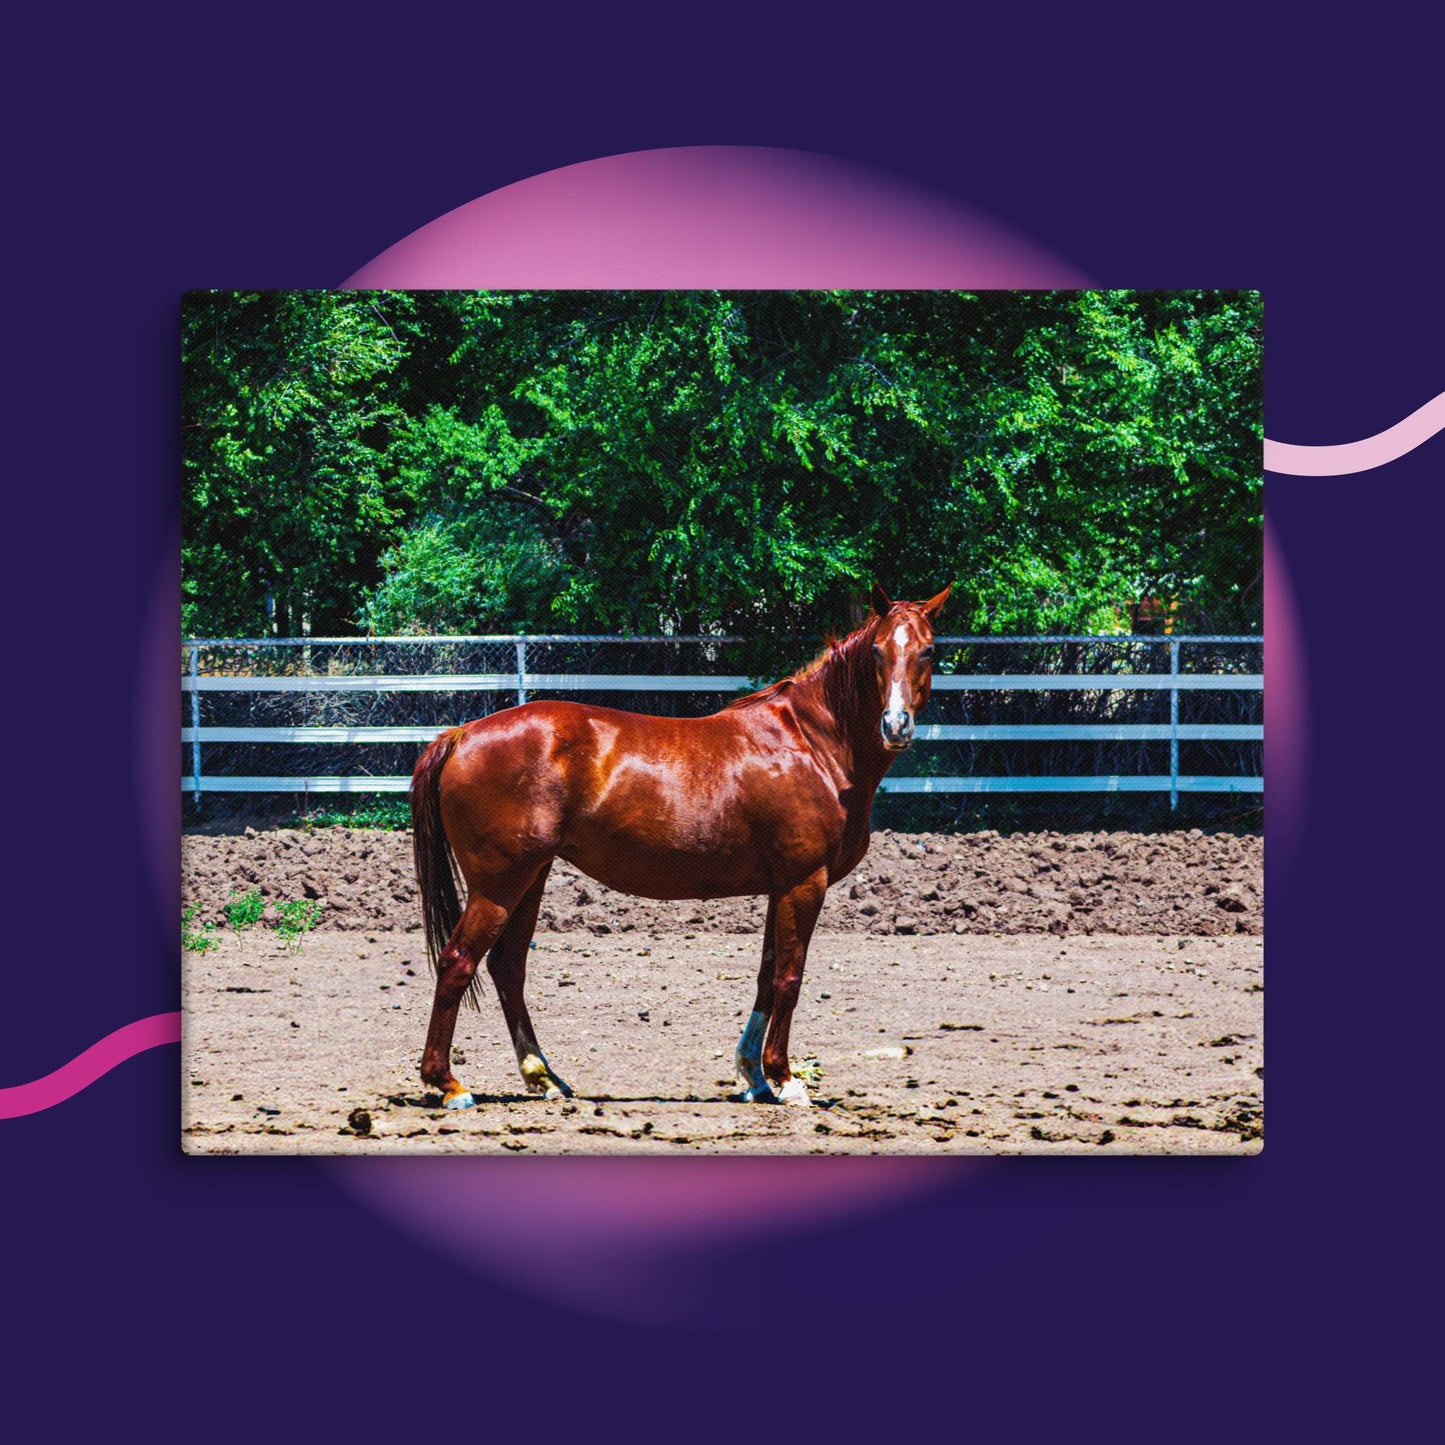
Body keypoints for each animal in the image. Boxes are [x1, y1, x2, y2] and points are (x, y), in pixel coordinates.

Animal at [410, 580, 947, 1109]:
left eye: (927, 650)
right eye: (877, 651)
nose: (895, 725)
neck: (812, 744)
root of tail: (462, 734)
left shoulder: (780, 888)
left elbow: (766, 975)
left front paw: (753, 1076)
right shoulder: (803, 883)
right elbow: (788, 978)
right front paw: (786, 1078)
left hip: (530, 879)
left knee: (507, 968)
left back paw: (544, 1077)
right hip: (499, 884)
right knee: (457, 962)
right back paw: (449, 1084)